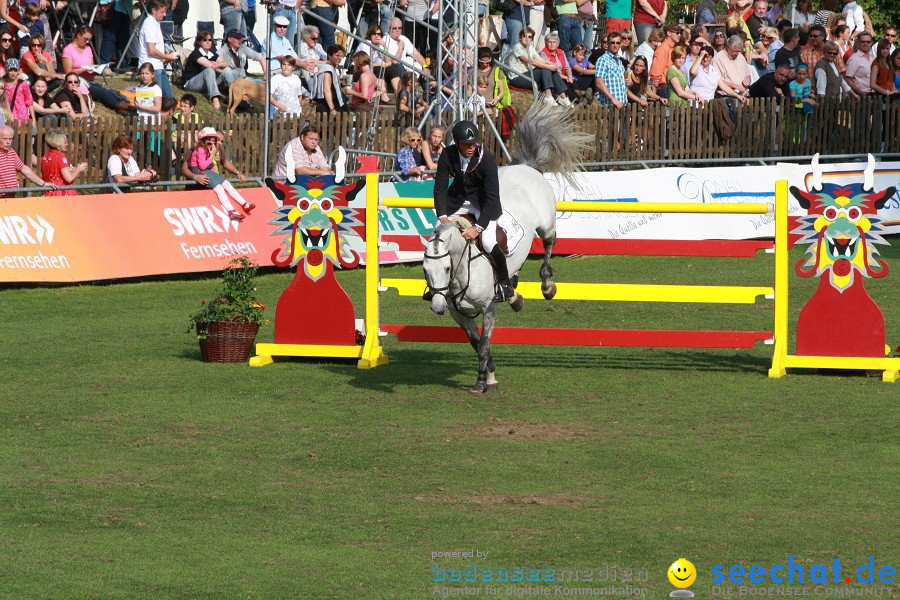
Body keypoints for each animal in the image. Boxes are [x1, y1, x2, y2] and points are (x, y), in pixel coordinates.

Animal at [426, 103, 596, 394]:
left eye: (447, 267)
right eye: (426, 269)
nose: (437, 307)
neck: (462, 273)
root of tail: (527, 167)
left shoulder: (488, 309)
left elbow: (484, 344)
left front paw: (482, 382)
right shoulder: (459, 314)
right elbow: (476, 343)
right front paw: (490, 373)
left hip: (546, 223)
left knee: (550, 243)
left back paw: (547, 286)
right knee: (514, 268)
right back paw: (514, 294)